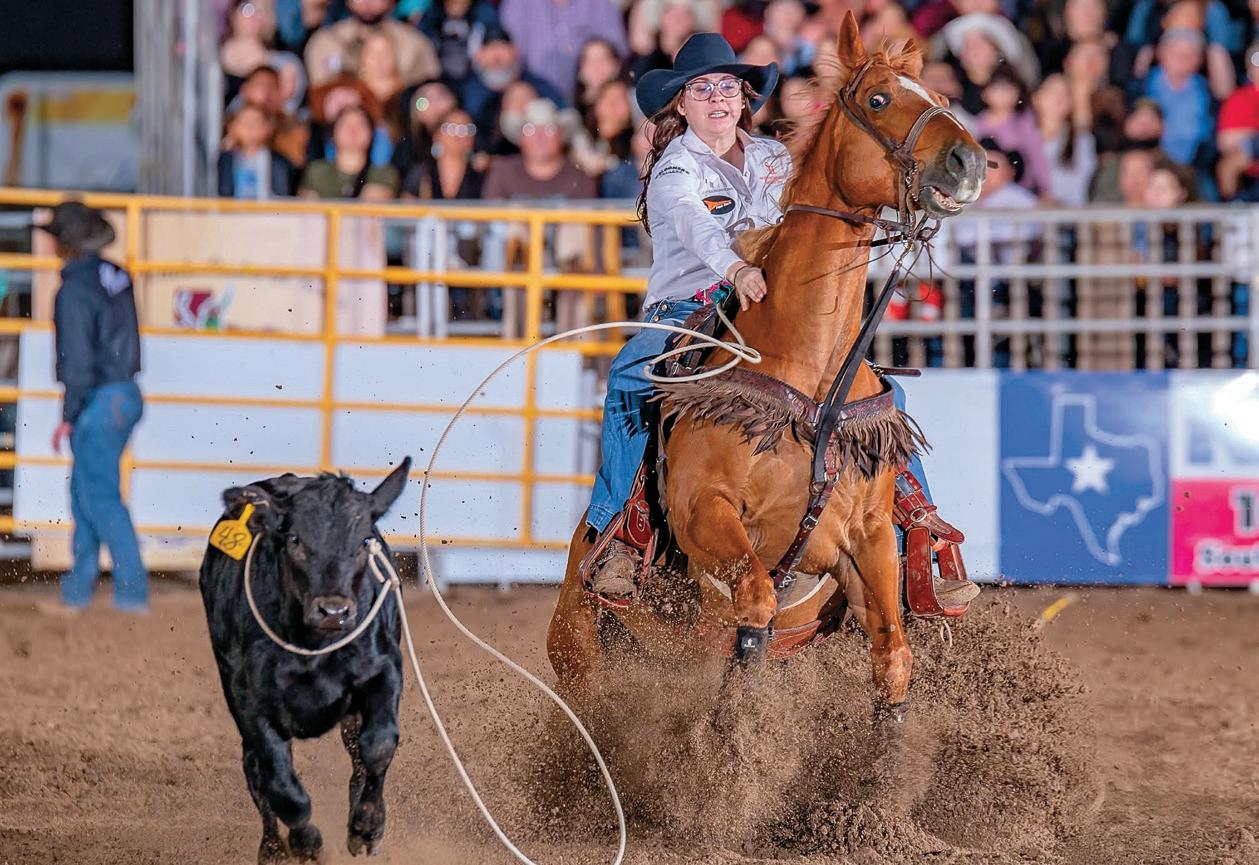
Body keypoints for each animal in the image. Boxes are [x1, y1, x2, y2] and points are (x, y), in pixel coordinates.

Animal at [199, 459, 411, 863]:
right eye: (295, 540)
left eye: (363, 541)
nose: (334, 611)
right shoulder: (252, 703)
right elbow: (283, 786)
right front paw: (306, 841)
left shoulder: (384, 668)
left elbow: (378, 745)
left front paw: (367, 826)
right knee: (256, 771)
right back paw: (272, 849)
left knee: (356, 751)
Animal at [548, 11, 987, 720]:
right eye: (878, 100)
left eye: (942, 97)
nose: (969, 161)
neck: (812, 381)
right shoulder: (706, 513)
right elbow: (753, 606)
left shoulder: (866, 543)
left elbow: (892, 654)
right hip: (580, 653)